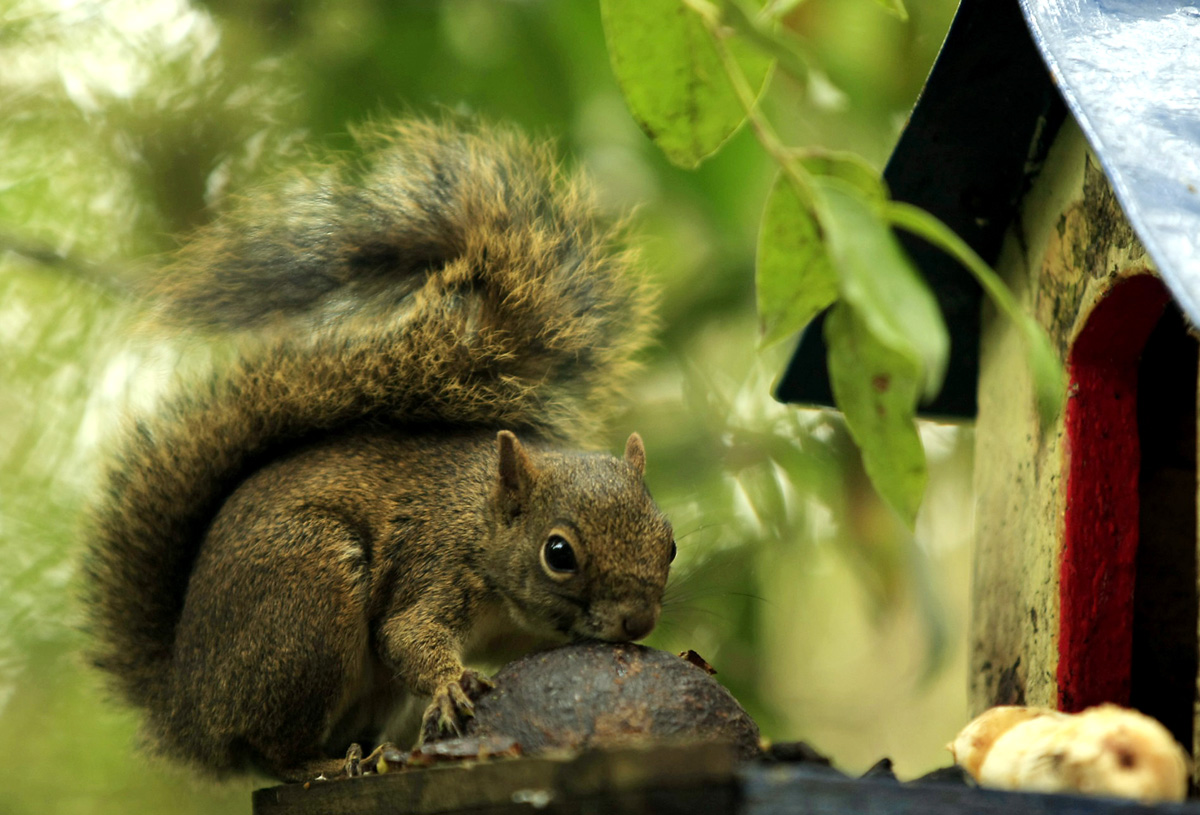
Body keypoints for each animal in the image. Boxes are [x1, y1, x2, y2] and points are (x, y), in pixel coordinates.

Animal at [81, 119, 681, 782]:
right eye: (559, 554)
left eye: (670, 544)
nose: (638, 621)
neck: (482, 523)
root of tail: (186, 709)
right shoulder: (434, 565)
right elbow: (405, 635)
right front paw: (449, 684)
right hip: (306, 600)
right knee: (271, 750)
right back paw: (325, 763)